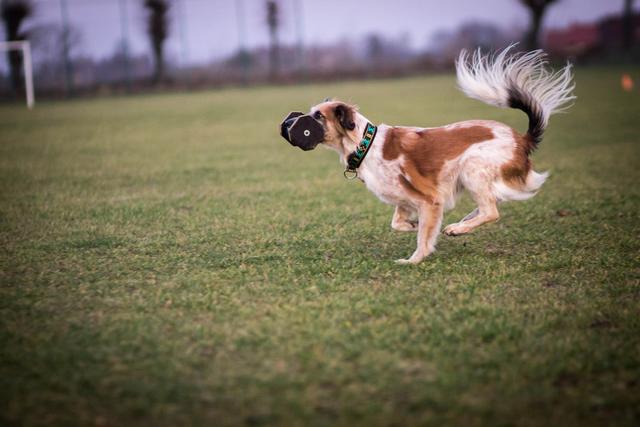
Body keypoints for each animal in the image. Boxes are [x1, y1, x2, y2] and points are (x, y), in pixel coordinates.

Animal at [280, 45, 576, 262]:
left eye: (318, 116)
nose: (292, 124)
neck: (366, 144)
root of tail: (521, 138)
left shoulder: (430, 199)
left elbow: (423, 236)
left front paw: (414, 259)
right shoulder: (405, 199)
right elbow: (399, 224)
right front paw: (412, 226)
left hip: (472, 167)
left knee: (491, 211)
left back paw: (459, 227)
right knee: (490, 204)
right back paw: (461, 223)